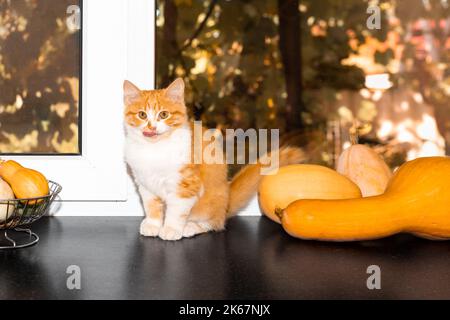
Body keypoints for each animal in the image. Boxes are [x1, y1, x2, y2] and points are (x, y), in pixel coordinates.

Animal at [125, 79, 304, 241]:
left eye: (163, 114)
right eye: (142, 115)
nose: (151, 127)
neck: (154, 149)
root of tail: (227, 201)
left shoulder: (186, 185)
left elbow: (176, 210)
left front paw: (171, 229)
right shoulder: (144, 183)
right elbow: (151, 206)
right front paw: (153, 224)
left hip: (211, 203)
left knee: (215, 223)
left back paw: (190, 227)